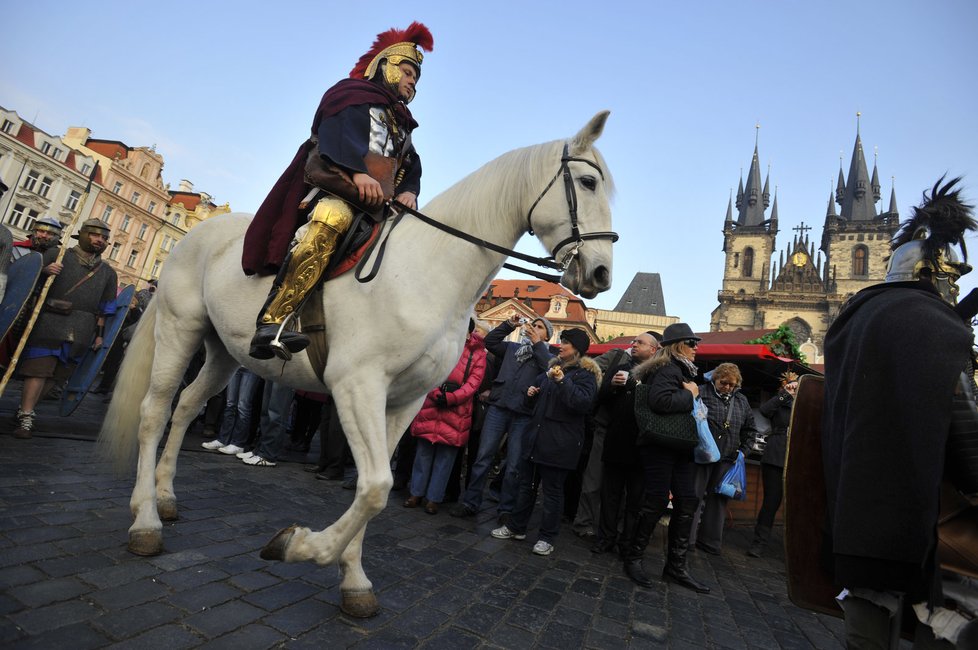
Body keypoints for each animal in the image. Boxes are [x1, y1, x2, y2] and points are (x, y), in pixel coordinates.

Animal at [101, 110, 616, 612]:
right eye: (589, 182)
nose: (601, 273)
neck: (430, 270)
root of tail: (197, 234)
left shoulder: (406, 400)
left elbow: (378, 487)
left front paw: (353, 579)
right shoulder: (356, 386)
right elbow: (374, 487)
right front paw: (300, 547)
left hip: (224, 351)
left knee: (187, 405)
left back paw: (166, 495)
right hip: (179, 329)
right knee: (155, 412)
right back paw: (146, 520)